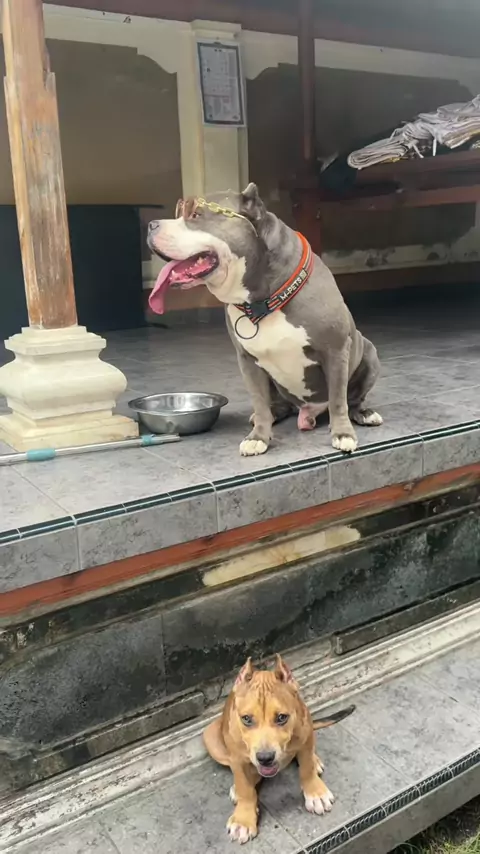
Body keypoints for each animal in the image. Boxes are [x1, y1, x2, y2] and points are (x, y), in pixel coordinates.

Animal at [147, 184, 382, 456]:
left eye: (195, 215)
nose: (151, 225)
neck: (264, 300)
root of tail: (309, 413)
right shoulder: (248, 361)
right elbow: (259, 402)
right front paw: (258, 437)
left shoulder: (335, 350)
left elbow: (337, 399)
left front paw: (343, 434)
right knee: (277, 405)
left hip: (369, 352)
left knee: (352, 398)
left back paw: (364, 414)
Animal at [203, 655, 355, 844]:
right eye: (246, 719)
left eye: (282, 717)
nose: (265, 758)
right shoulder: (237, 759)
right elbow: (245, 787)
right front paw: (244, 819)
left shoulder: (305, 736)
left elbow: (306, 768)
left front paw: (315, 793)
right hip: (211, 739)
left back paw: (315, 761)